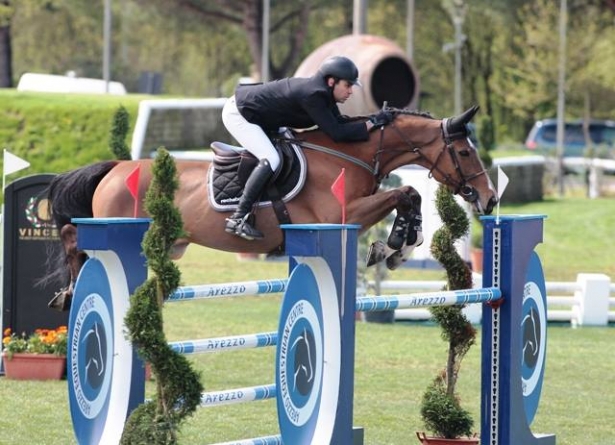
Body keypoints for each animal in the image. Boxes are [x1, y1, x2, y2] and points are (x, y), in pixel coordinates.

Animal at [43, 106, 498, 310]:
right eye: (463, 151)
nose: (490, 197)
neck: (348, 152)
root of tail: (115, 167)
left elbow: (408, 196)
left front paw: (397, 245)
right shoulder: (339, 217)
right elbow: (403, 194)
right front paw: (395, 245)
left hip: (166, 241)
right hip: (115, 224)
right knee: (72, 236)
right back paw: (68, 290)